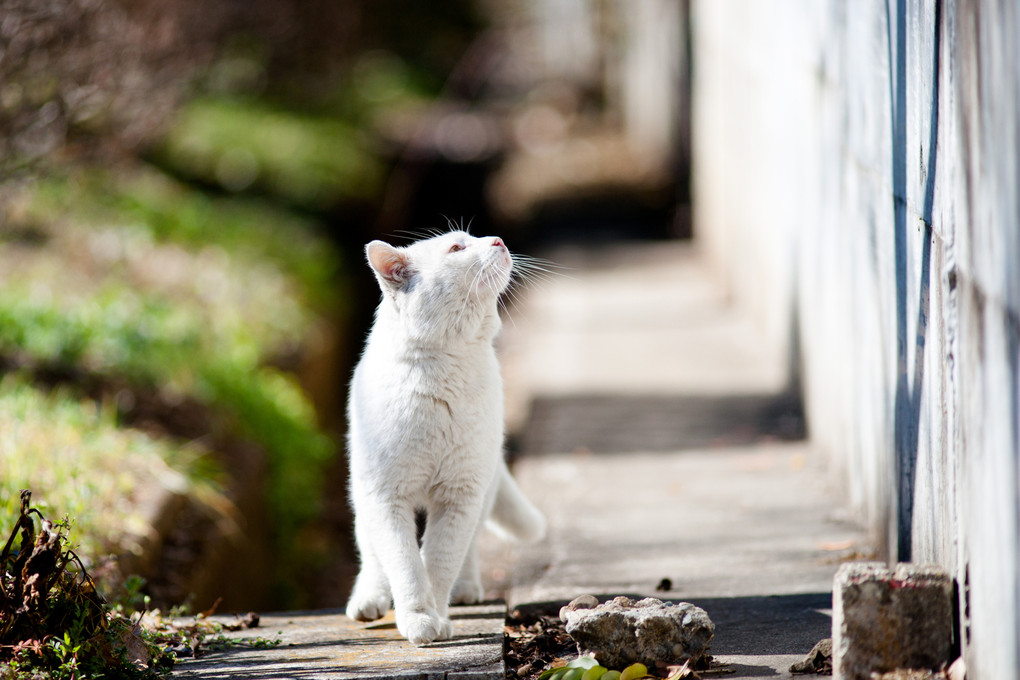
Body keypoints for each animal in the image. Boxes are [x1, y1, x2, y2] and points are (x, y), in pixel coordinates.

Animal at [346, 228, 546, 644]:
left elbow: (439, 561)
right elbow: (405, 565)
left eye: (474, 238)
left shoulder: (460, 495)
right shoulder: (386, 497)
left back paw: (466, 590)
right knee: (371, 551)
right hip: (361, 489)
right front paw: (418, 621)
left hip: (482, 491)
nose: (499, 240)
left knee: (467, 552)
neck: (448, 370)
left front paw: (435, 618)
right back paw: (369, 599)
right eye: (457, 247)